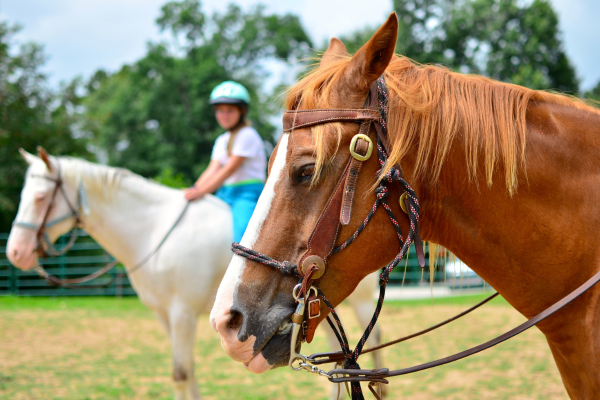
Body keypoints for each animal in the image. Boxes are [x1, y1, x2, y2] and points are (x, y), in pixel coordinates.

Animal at [5, 148, 384, 398]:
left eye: (41, 198)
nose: (15, 252)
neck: (153, 231)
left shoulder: (182, 314)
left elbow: (181, 371)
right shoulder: (164, 316)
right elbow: (184, 374)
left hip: (356, 303)